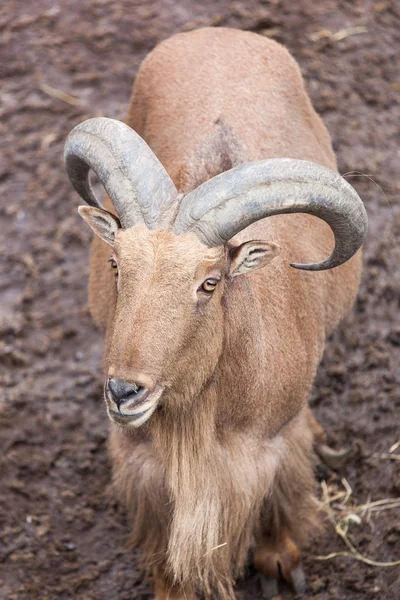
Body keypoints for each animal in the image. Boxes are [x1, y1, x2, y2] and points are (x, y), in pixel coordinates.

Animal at [64, 28, 368, 600]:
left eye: (210, 282)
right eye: (117, 264)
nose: (124, 392)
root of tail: (218, 33)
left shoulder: (270, 445)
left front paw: (279, 565)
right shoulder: (144, 462)